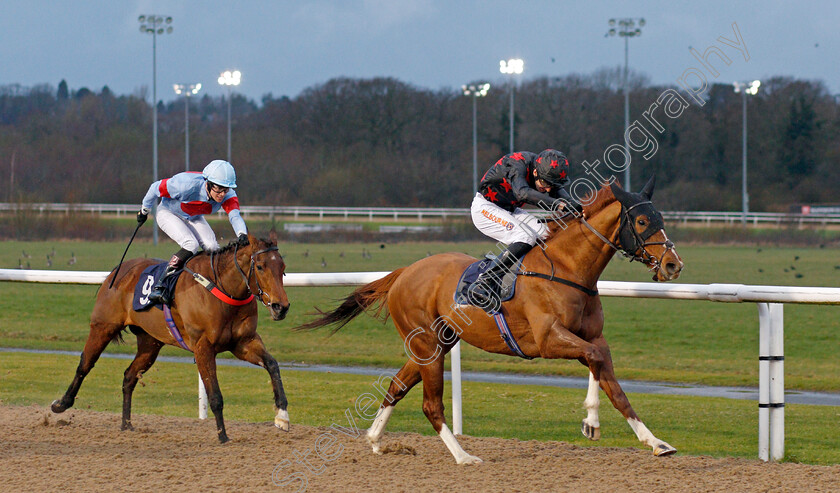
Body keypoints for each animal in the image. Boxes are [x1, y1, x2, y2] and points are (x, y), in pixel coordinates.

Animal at [50, 232, 292, 442]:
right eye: (260, 266)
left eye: (282, 267)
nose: (281, 307)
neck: (222, 288)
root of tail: (118, 269)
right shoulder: (203, 347)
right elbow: (215, 395)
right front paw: (223, 436)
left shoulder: (243, 342)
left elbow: (272, 364)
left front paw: (282, 416)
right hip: (103, 327)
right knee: (85, 364)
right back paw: (61, 404)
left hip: (150, 343)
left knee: (129, 376)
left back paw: (126, 424)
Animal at [298, 179, 684, 464]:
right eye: (642, 221)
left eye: (661, 219)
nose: (673, 265)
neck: (568, 268)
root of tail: (405, 272)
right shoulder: (548, 339)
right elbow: (595, 358)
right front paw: (592, 421)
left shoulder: (591, 335)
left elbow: (609, 378)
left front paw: (652, 441)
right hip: (428, 344)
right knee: (431, 404)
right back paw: (463, 456)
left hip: (434, 344)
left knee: (396, 386)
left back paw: (376, 439)